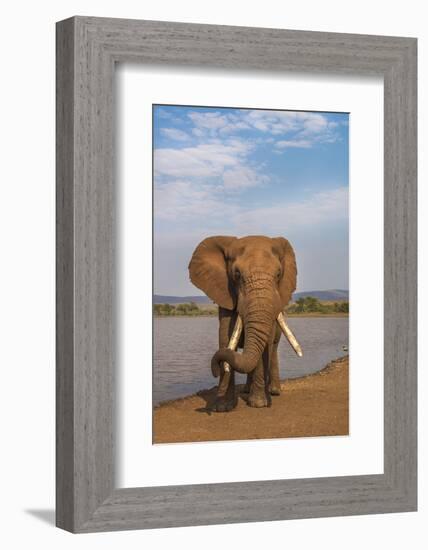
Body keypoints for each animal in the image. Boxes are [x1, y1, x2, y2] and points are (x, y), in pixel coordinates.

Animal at [189, 235, 302, 412]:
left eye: (278, 274)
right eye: (236, 274)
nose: (215, 370)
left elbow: (265, 345)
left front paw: (258, 404)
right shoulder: (226, 295)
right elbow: (225, 337)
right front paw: (223, 408)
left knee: (273, 348)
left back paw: (274, 391)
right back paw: (247, 390)